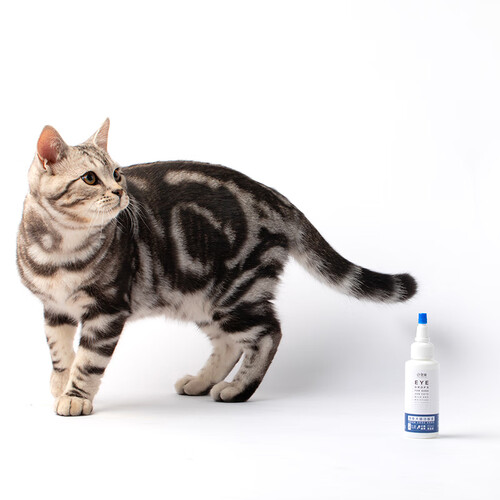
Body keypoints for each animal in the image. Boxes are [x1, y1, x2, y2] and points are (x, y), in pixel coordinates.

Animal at [17, 119, 417, 416]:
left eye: (117, 173)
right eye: (90, 178)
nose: (119, 192)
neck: (60, 249)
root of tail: (276, 198)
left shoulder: (107, 310)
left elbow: (88, 360)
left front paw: (76, 396)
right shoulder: (54, 309)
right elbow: (60, 352)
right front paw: (60, 383)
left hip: (236, 292)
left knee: (269, 333)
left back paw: (238, 389)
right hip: (198, 298)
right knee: (228, 344)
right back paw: (202, 381)